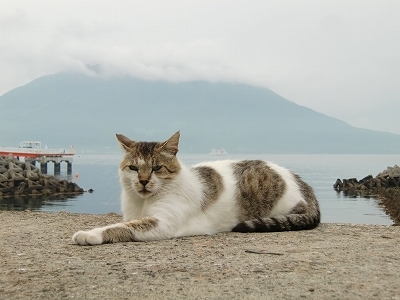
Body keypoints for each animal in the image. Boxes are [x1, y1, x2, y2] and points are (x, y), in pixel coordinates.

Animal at [72, 132, 320, 245]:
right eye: (133, 168)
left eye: (157, 168)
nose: (142, 181)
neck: (143, 202)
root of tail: (301, 181)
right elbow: (124, 222)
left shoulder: (163, 222)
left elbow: (121, 226)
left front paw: (90, 234)